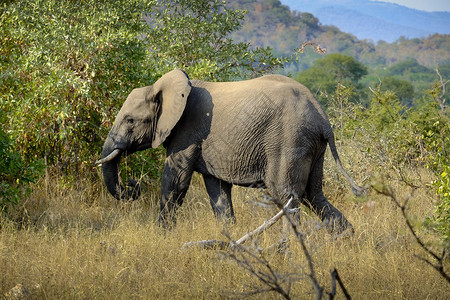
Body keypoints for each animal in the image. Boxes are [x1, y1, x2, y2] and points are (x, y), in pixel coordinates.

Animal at [96, 69, 364, 233]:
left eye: (130, 121)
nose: (132, 185)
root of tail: (323, 118)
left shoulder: (186, 132)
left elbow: (176, 181)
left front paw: (162, 236)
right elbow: (217, 191)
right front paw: (229, 237)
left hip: (289, 140)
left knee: (286, 196)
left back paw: (288, 252)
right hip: (312, 147)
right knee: (313, 194)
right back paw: (346, 240)